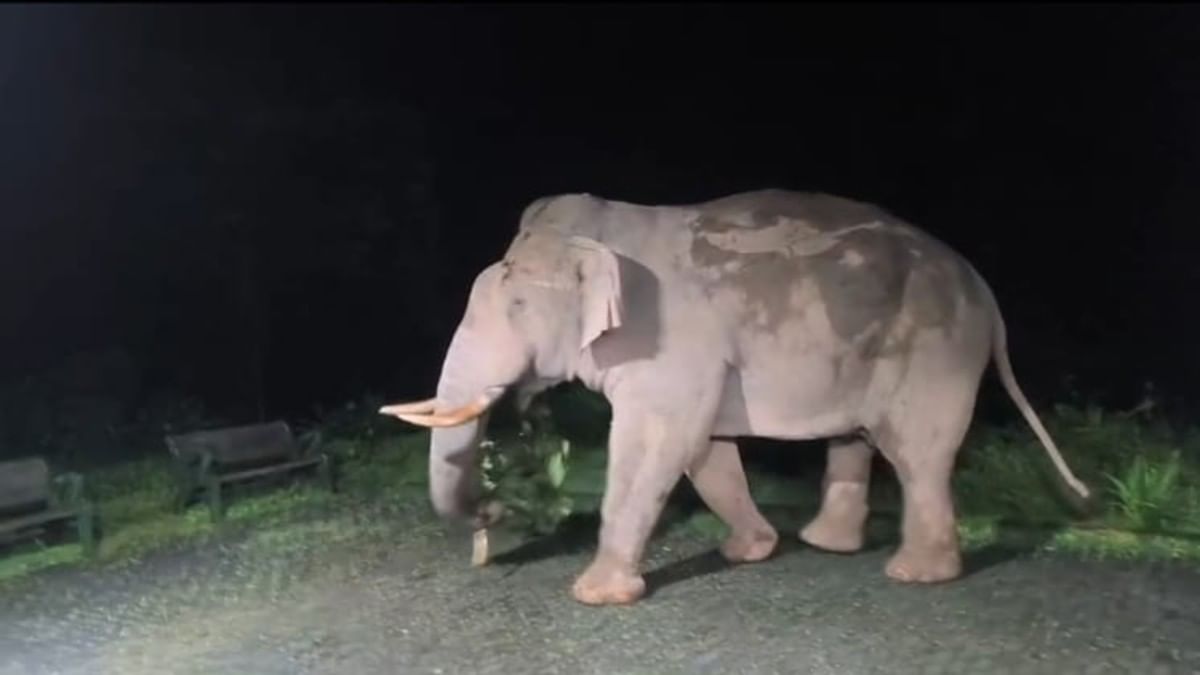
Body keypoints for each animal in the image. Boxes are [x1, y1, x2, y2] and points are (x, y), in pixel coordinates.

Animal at [380, 188, 1090, 606]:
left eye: (520, 307)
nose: (495, 515)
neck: (592, 237)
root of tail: (987, 295)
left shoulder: (669, 343)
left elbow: (655, 443)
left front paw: (594, 595)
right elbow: (705, 449)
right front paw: (748, 552)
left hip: (935, 352)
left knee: (917, 453)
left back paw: (915, 575)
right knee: (856, 440)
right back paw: (829, 544)